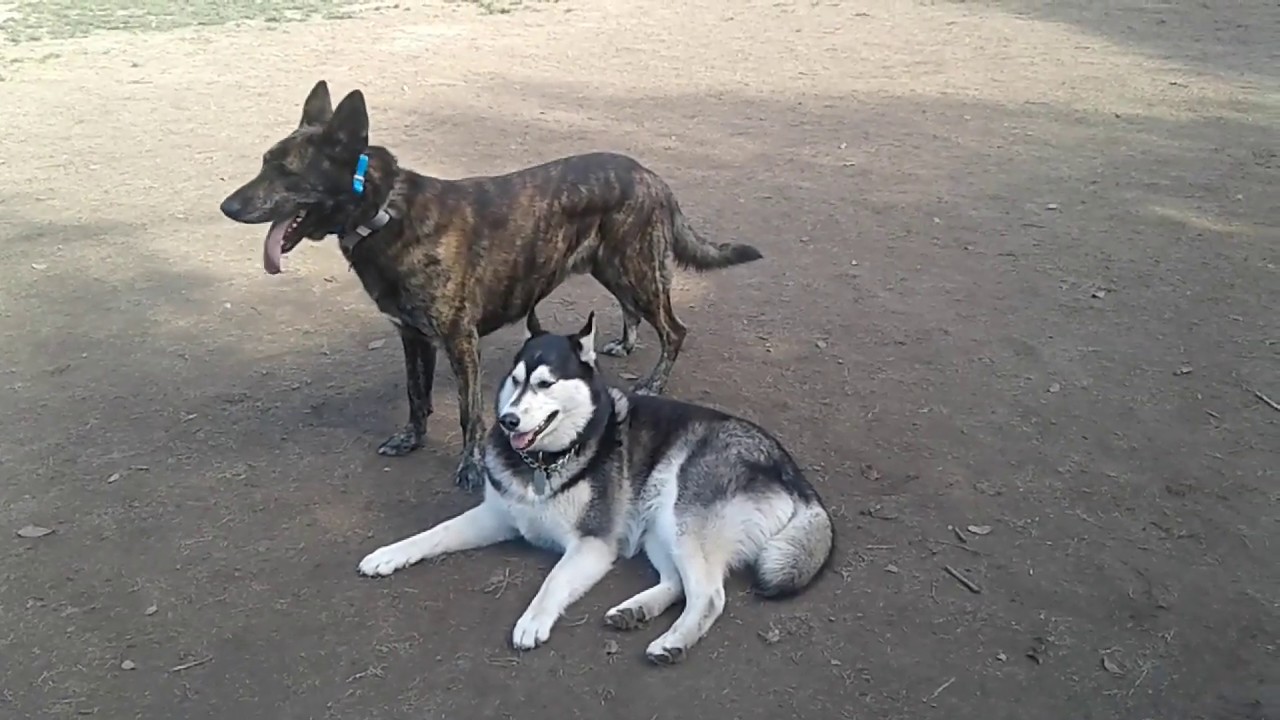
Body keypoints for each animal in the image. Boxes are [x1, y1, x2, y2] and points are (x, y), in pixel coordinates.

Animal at [218, 81, 757, 489]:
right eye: (263, 162)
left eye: (285, 171)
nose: (227, 206)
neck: (385, 212)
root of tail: (651, 175)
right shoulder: (412, 337)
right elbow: (416, 396)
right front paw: (411, 438)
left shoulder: (461, 341)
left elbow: (468, 415)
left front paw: (472, 467)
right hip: (614, 268)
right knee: (634, 311)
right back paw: (625, 344)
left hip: (636, 270)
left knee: (674, 329)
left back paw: (655, 379)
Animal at [358, 310, 839, 661]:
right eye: (515, 380)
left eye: (545, 383)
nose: (508, 420)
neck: (546, 461)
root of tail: (792, 472)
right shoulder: (497, 516)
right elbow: (433, 533)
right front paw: (389, 555)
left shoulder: (592, 542)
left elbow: (553, 579)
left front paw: (534, 619)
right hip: (658, 526)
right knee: (677, 583)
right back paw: (635, 610)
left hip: (682, 517)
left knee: (708, 595)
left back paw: (671, 642)